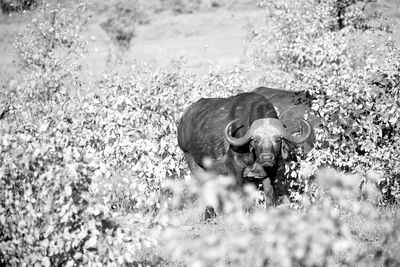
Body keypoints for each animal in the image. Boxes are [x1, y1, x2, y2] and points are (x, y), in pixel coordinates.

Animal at [177, 92, 312, 220]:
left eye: (277, 139)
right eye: (256, 140)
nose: (266, 158)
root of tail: (183, 119)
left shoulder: (271, 169)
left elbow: (269, 192)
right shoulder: (235, 169)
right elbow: (239, 194)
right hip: (192, 161)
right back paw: (209, 216)